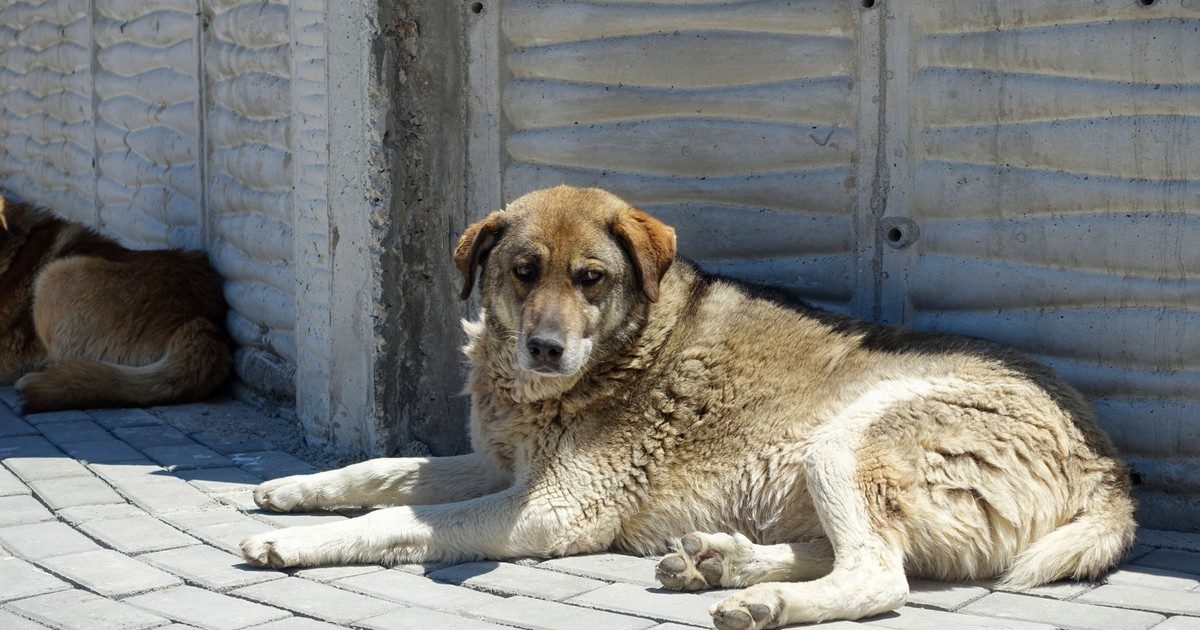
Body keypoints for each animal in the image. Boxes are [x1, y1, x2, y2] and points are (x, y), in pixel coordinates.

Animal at [243, 184, 1132, 624]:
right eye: (523, 272)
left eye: (591, 279)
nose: (545, 349)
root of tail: (1108, 465)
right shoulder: (497, 467)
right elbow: (383, 471)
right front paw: (291, 492)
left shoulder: (550, 511)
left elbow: (396, 520)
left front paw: (294, 542)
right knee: (869, 557)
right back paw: (721, 561)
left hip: (848, 441)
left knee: (881, 578)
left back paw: (764, 597)